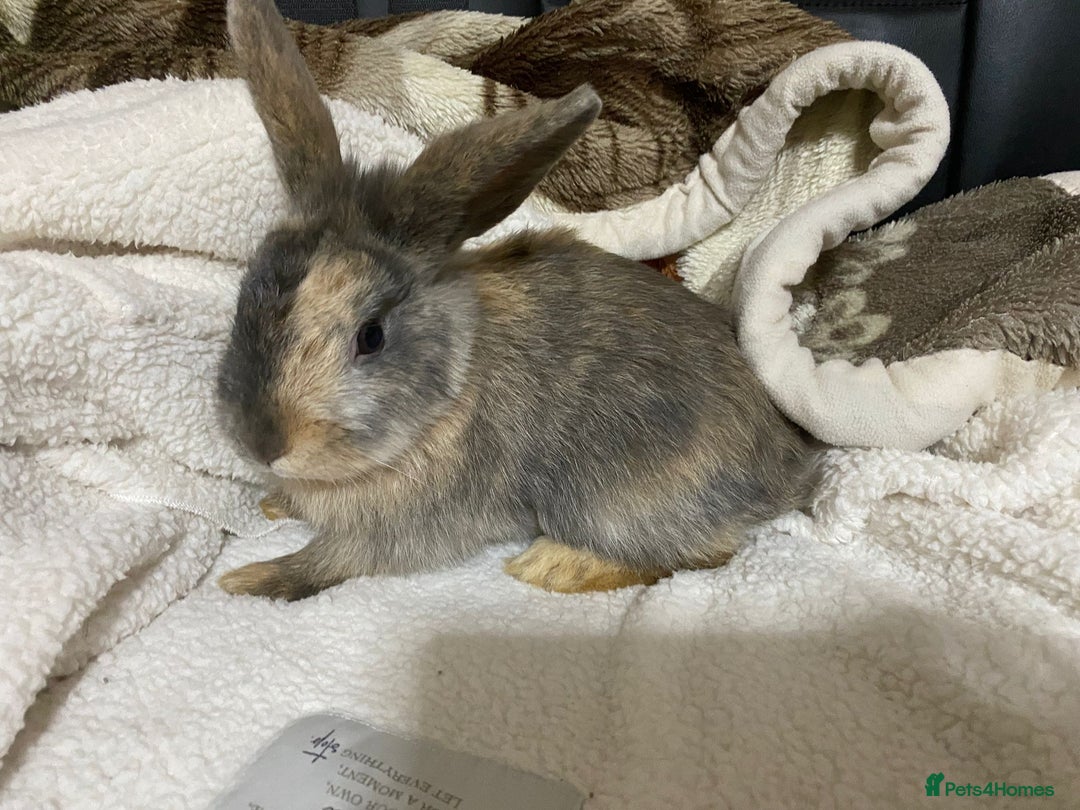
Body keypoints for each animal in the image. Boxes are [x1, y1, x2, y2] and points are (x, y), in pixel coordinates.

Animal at [216, 0, 812, 600]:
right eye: (247, 298)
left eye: (372, 336)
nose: (263, 444)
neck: (446, 395)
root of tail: (787, 469)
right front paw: (272, 502)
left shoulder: (406, 528)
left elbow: (329, 560)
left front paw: (245, 579)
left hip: (607, 503)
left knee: (701, 553)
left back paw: (550, 565)